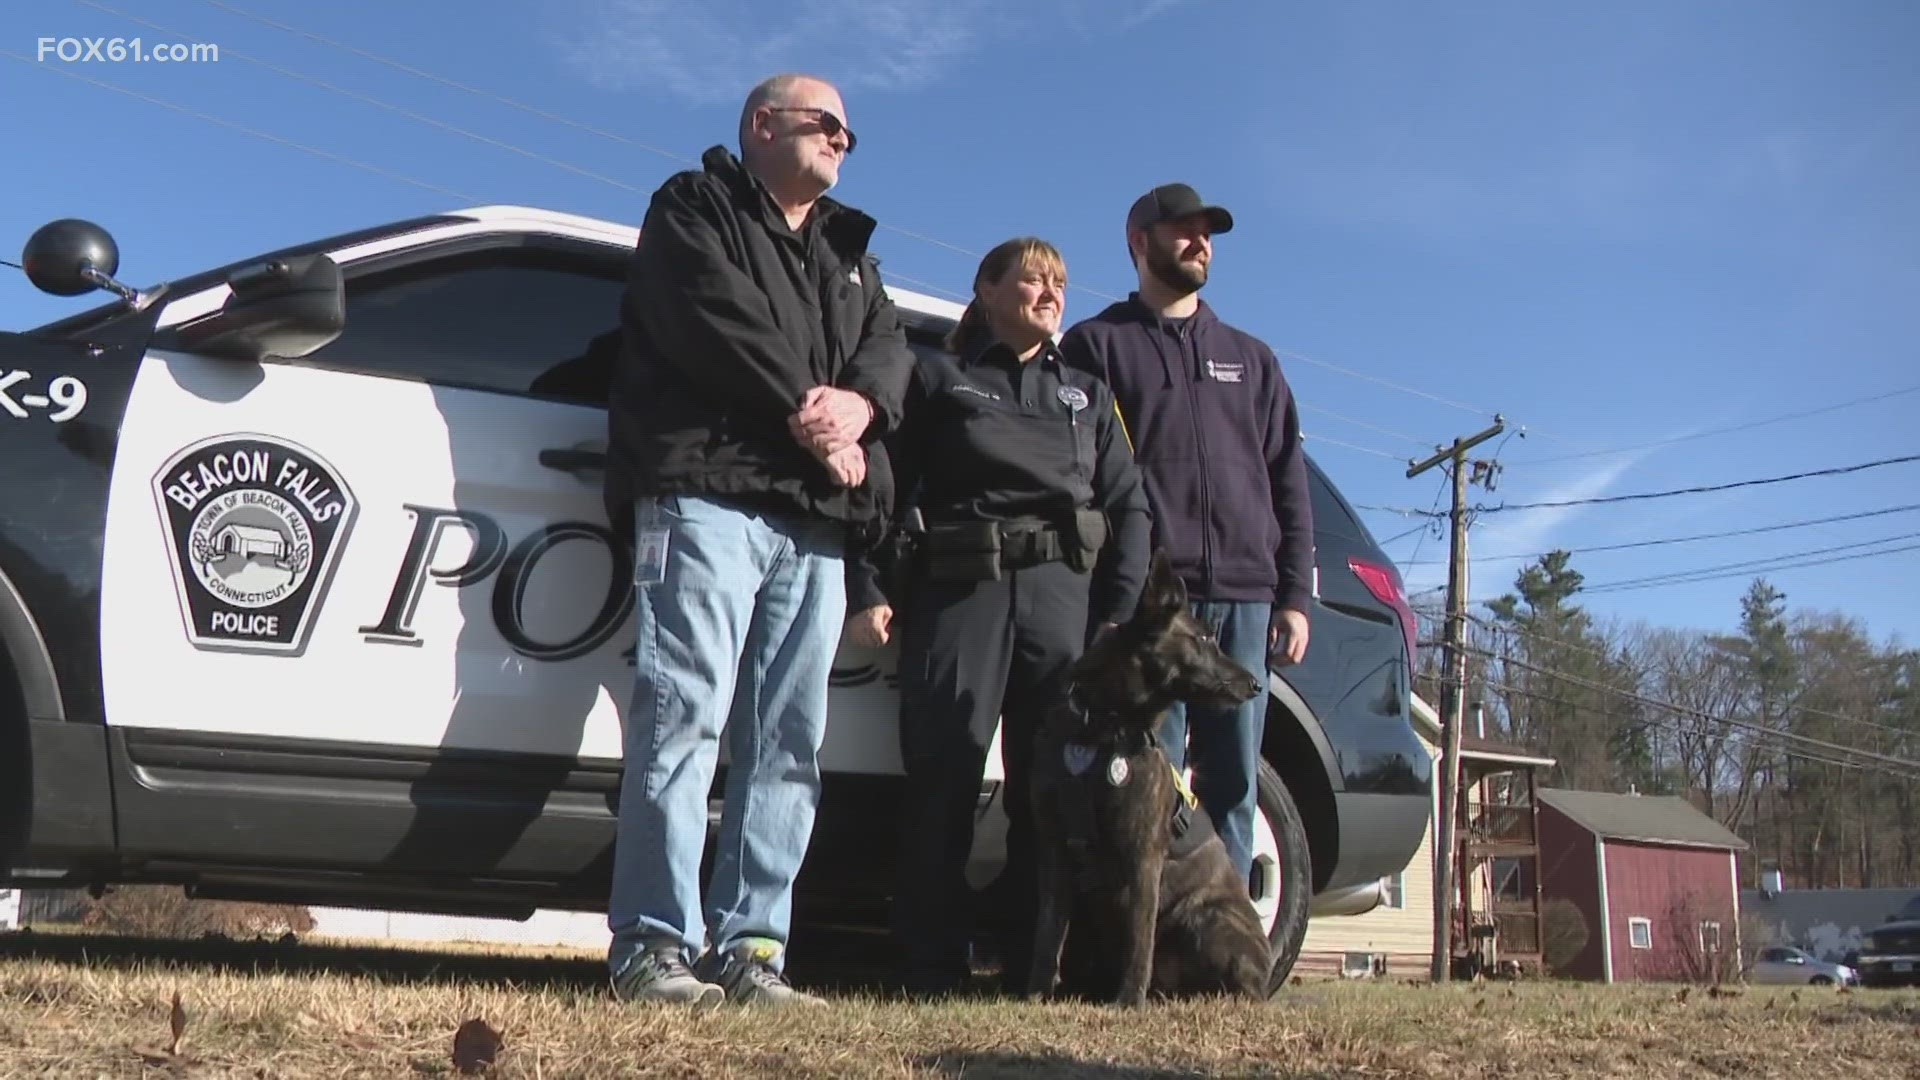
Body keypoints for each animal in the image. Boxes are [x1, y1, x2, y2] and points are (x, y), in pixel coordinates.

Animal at [1029, 549, 1282, 1006]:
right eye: (1203, 640)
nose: (1256, 684)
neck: (1102, 727)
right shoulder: (1053, 849)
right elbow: (1048, 932)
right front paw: (1036, 994)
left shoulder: (1142, 855)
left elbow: (1138, 938)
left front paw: (1129, 1002)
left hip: (1207, 916)